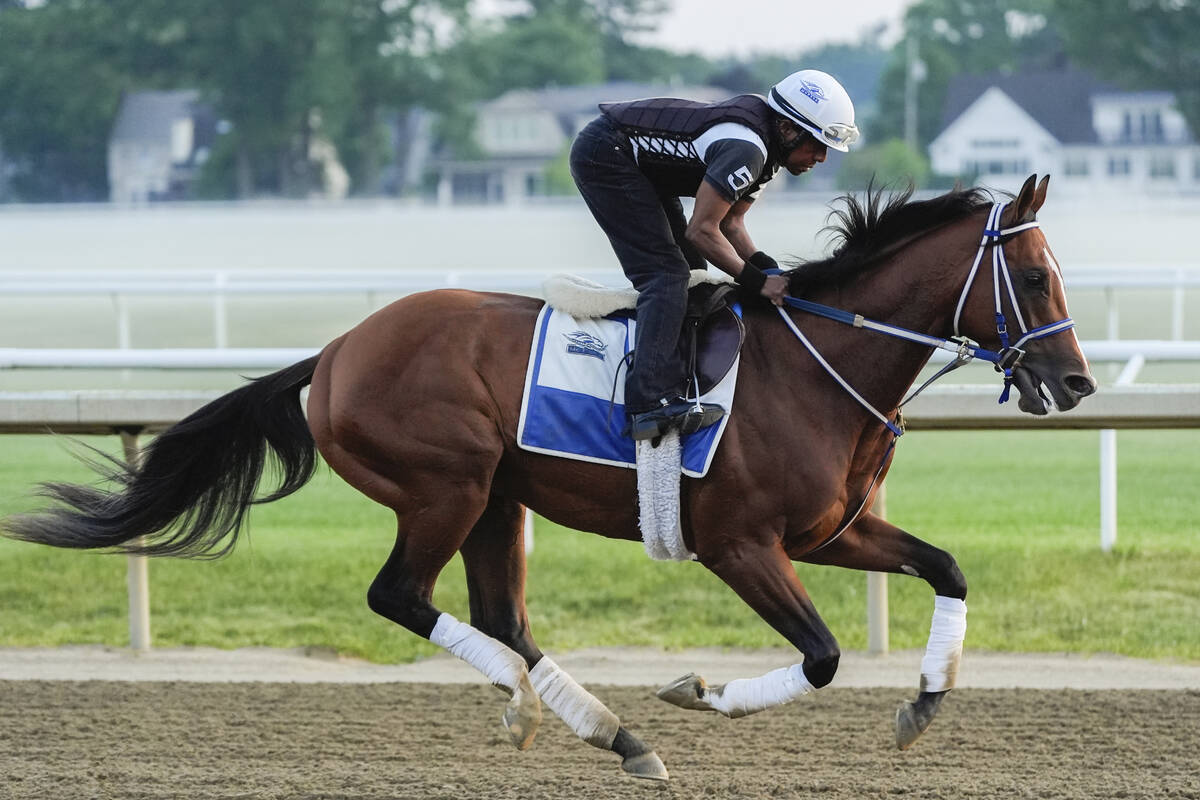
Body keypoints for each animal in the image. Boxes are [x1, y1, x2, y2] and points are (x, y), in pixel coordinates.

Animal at [4, 175, 1099, 782]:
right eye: (1034, 276)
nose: (1077, 383)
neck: (819, 360)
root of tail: (337, 350)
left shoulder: (834, 531)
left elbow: (948, 568)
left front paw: (923, 703)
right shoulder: (740, 543)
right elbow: (825, 654)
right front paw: (698, 689)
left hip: (497, 497)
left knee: (502, 614)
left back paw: (607, 731)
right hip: (446, 483)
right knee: (401, 595)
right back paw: (544, 709)